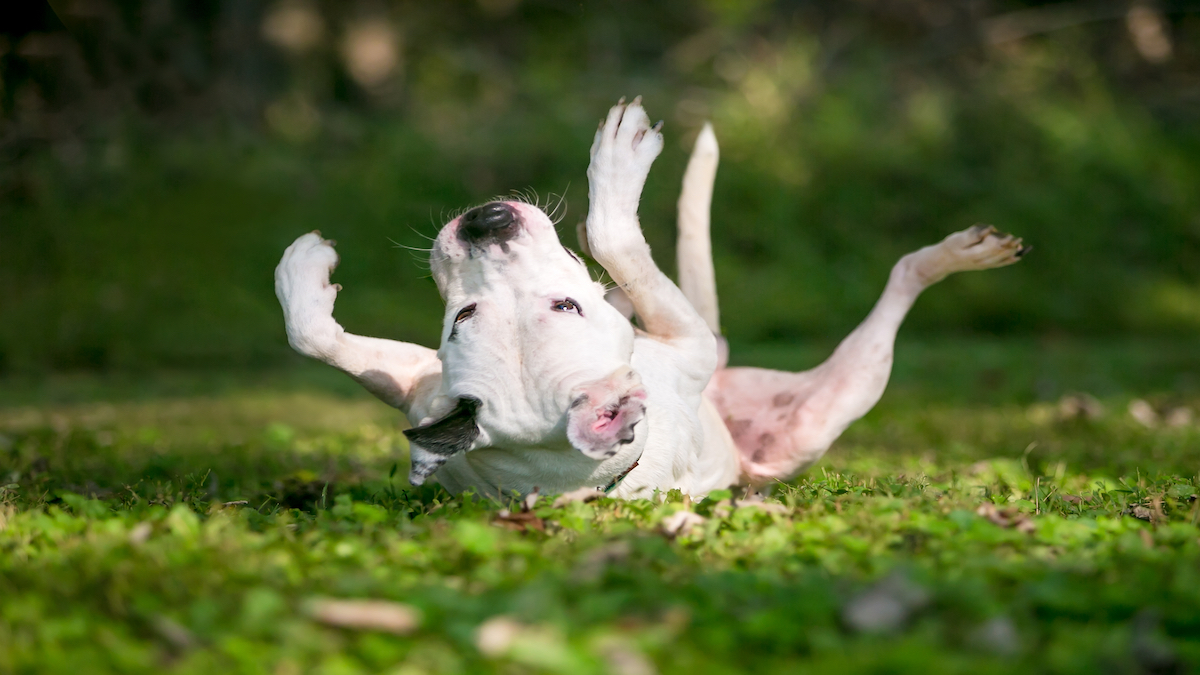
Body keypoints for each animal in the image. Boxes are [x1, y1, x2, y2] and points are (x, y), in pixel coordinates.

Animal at [276, 97, 1027, 497]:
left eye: (463, 317)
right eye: (567, 308)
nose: (486, 221)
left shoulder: (420, 389)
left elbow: (318, 339)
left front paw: (299, 274)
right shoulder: (685, 340)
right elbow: (618, 236)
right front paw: (618, 165)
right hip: (835, 400)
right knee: (901, 281)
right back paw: (959, 254)